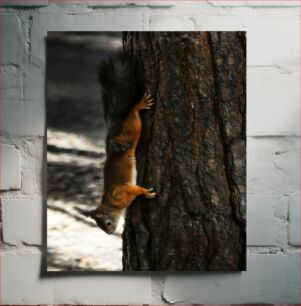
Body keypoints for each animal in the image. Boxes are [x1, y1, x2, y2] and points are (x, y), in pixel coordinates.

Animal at [84, 53, 155, 234]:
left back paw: (140, 105)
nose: (110, 233)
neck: (111, 205)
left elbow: (136, 189)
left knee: (133, 114)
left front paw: (146, 192)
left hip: (131, 132)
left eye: (107, 223)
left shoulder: (123, 191)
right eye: (102, 227)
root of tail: (112, 144)